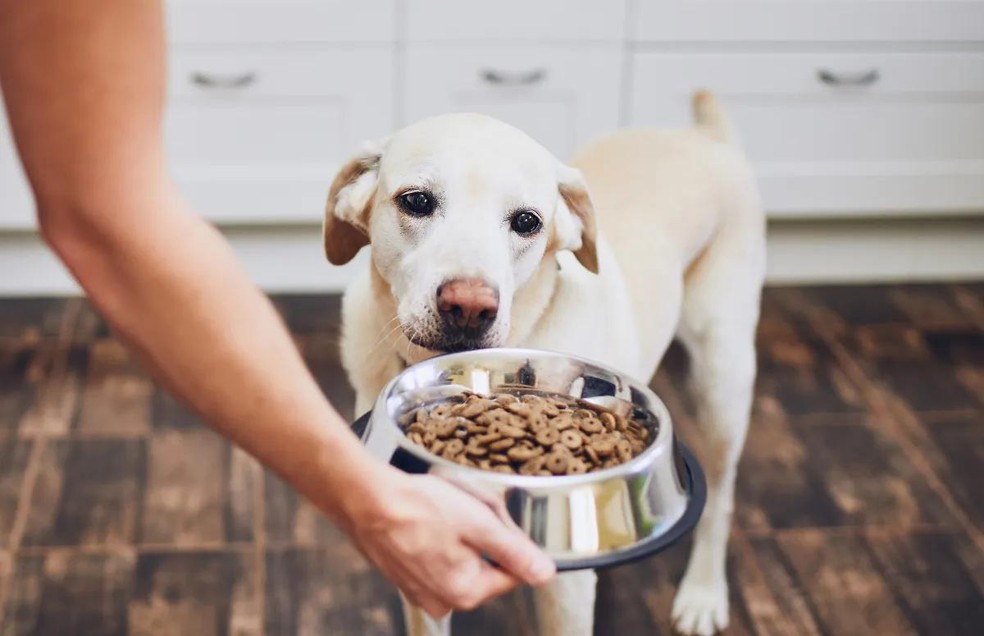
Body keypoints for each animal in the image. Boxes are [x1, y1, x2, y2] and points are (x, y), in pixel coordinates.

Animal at [324, 90, 768, 636]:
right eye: (416, 201)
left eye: (527, 222)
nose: (468, 307)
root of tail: (705, 136)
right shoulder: (423, 561)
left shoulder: (565, 587)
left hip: (722, 378)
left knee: (722, 497)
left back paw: (703, 593)